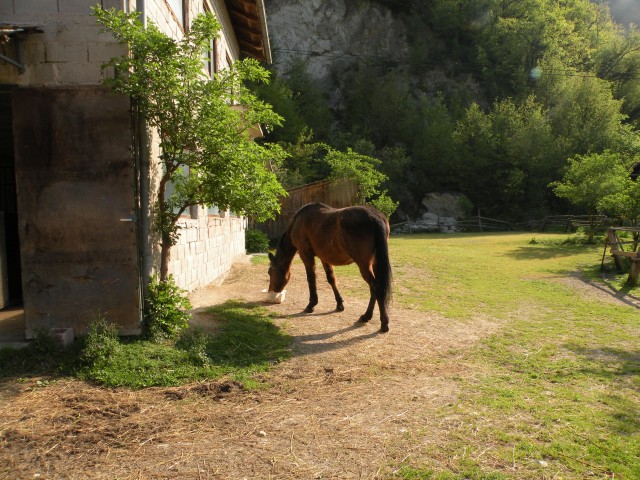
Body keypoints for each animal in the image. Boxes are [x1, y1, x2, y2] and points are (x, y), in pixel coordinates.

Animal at [268, 201, 392, 332]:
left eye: (270, 271)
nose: (271, 290)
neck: (298, 222)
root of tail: (374, 217)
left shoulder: (306, 255)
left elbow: (311, 279)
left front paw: (311, 304)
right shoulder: (324, 258)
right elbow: (331, 279)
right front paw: (339, 304)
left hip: (364, 265)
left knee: (376, 287)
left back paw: (378, 320)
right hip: (375, 263)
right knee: (376, 288)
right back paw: (370, 317)